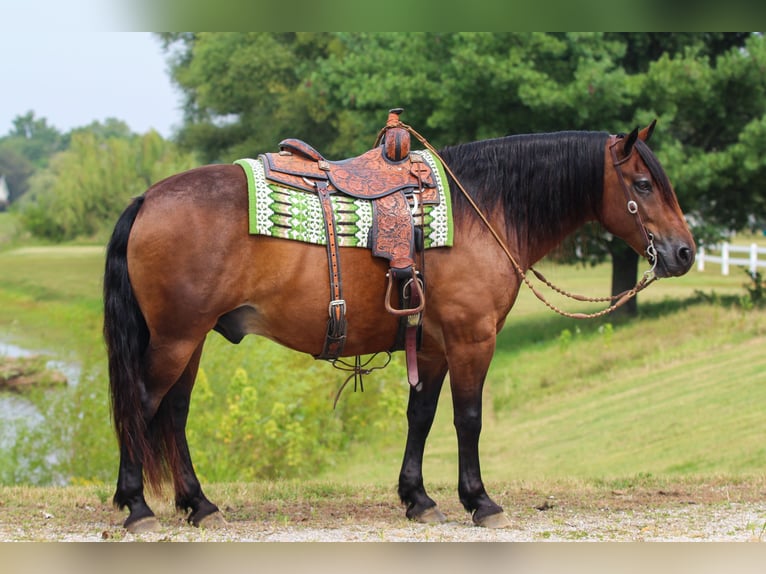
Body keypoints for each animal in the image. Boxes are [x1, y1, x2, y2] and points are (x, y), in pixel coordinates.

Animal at [103, 121, 695, 532]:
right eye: (643, 183)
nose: (684, 252)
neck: (484, 210)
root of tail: (147, 198)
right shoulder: (472, 339)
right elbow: (468, 419)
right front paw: (480, 500)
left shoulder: (431, 346)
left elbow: (421, 416)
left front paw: (418, 498)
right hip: (176, 339)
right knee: (142, 405)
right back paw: (137, 506)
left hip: (191, 340)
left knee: (174, 414)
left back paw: (199, 505)